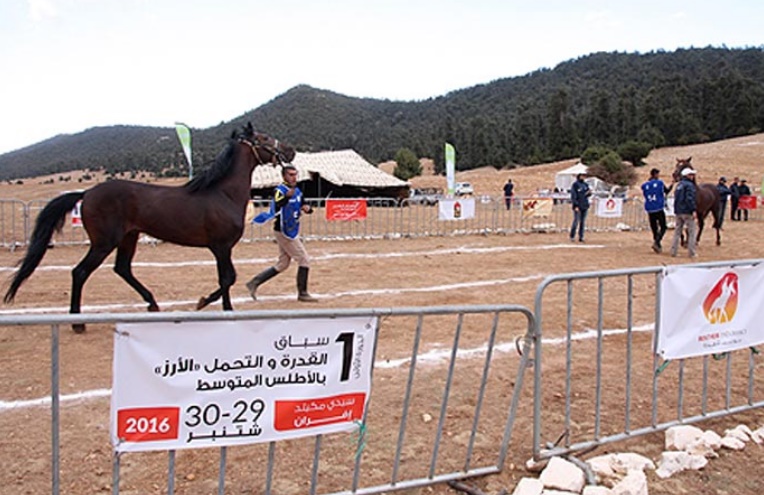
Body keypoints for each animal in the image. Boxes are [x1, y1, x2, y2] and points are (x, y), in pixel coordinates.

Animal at [3, 123, 296, 334]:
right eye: (265, 138)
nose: (291, 151)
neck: (222, 193)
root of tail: (86, 193)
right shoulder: (221, 247)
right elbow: (228, 278)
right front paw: (211, 305)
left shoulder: (220, 249)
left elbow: (226, 278)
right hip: (104, 242)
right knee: (80, 272)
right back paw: (77, 323)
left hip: (128, 237)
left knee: (122, 268)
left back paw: (152, 304)